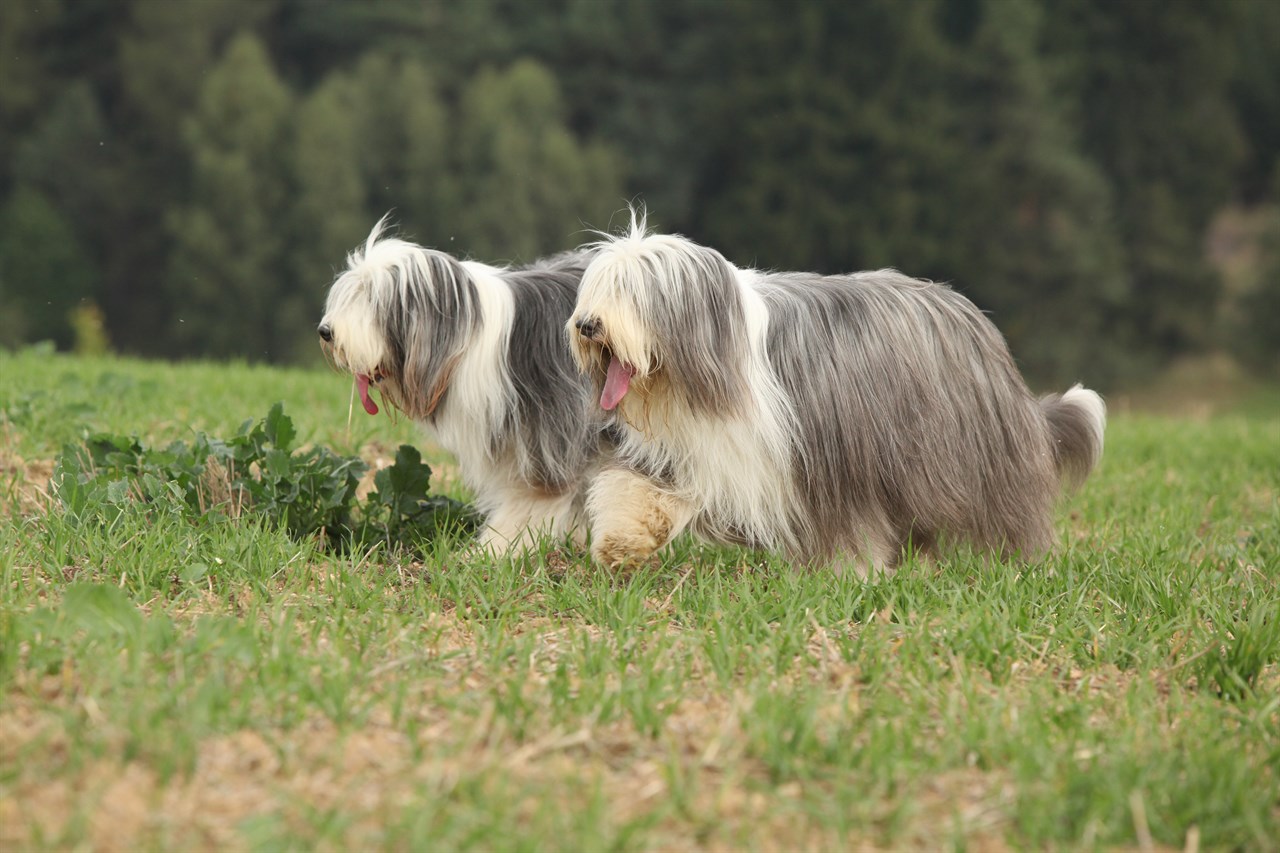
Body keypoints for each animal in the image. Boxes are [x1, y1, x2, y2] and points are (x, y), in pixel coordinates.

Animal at [317, 219, 601, 548]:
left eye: (374, 299)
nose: (325, 331)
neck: (464, 342)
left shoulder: (550, 438)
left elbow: (534, 499)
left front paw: (496, 547)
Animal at [565, 210, 1105, 573]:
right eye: (598, 287)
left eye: (632, 290)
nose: (587, 325)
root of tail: (972, 317)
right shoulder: (697, 449)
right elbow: (641, 489)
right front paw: (621, 542)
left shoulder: (827, 460)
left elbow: (846, 525)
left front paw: (854, 574)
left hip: (968, 454)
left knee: (1007, 511)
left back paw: (1019, 563)